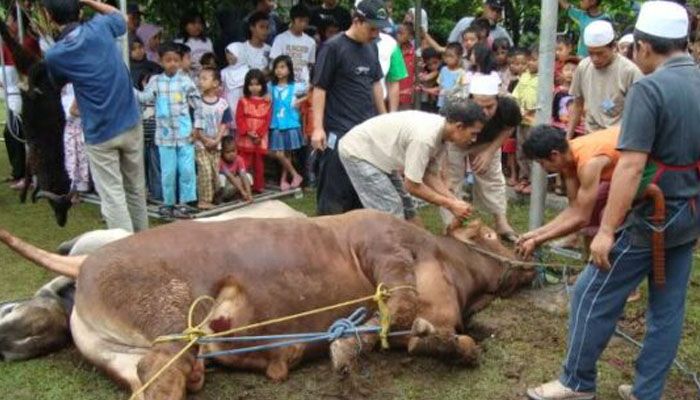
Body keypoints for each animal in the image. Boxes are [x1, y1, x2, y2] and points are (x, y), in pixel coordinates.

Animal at [0, 209, 532, 400]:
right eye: (488, 234)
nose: (527, 256)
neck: (454, 272)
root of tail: (85, 262)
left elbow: (453, 342)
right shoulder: (383, 245)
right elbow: (397, 305)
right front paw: (343, 349)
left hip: (115, 352)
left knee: (149, 376)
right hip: (169, 309)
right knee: (163, 369)